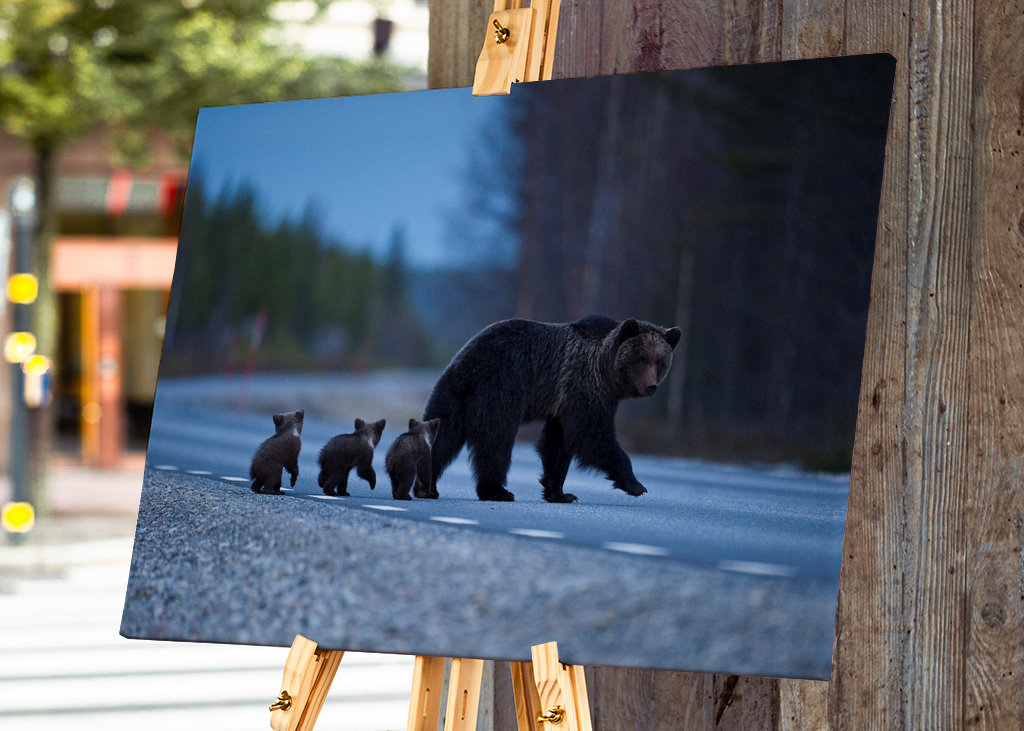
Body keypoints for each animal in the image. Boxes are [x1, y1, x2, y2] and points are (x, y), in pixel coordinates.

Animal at [423, 316, 681, 503]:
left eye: (660, 361)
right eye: (641, 359)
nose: (651, 387)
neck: (606, 371)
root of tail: (469, 363)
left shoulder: (564, 403)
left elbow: (558, 444)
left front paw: (560, 494)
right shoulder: (585, 388)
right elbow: (593, 435)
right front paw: (636, 485)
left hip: (452, 395)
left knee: (442, 435)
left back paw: (428, 486)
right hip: (501, 385)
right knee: (496, 439)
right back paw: (497, 491)